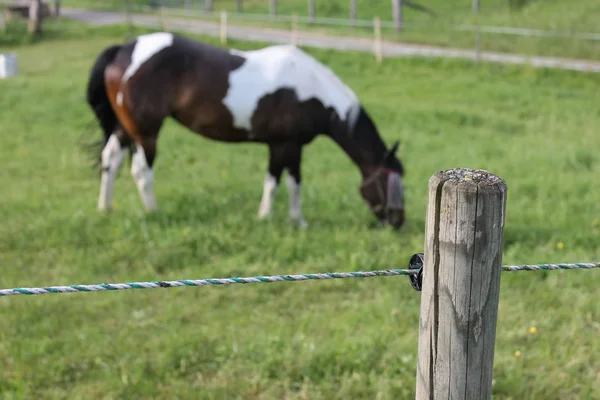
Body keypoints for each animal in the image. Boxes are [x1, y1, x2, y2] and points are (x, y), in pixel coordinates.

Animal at [85, 31, 408, 230]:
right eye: (392, 182)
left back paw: (104, 208)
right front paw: (268, 218)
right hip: (146, 132)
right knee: (141, 171)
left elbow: (293, 182)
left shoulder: (292, 147)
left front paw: (297, 221)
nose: (397, 222)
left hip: (125, 128)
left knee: (110, 160)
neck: (311, 89)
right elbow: (276, 183)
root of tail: (124, 50)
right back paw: (154, 212)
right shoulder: (282, 146)